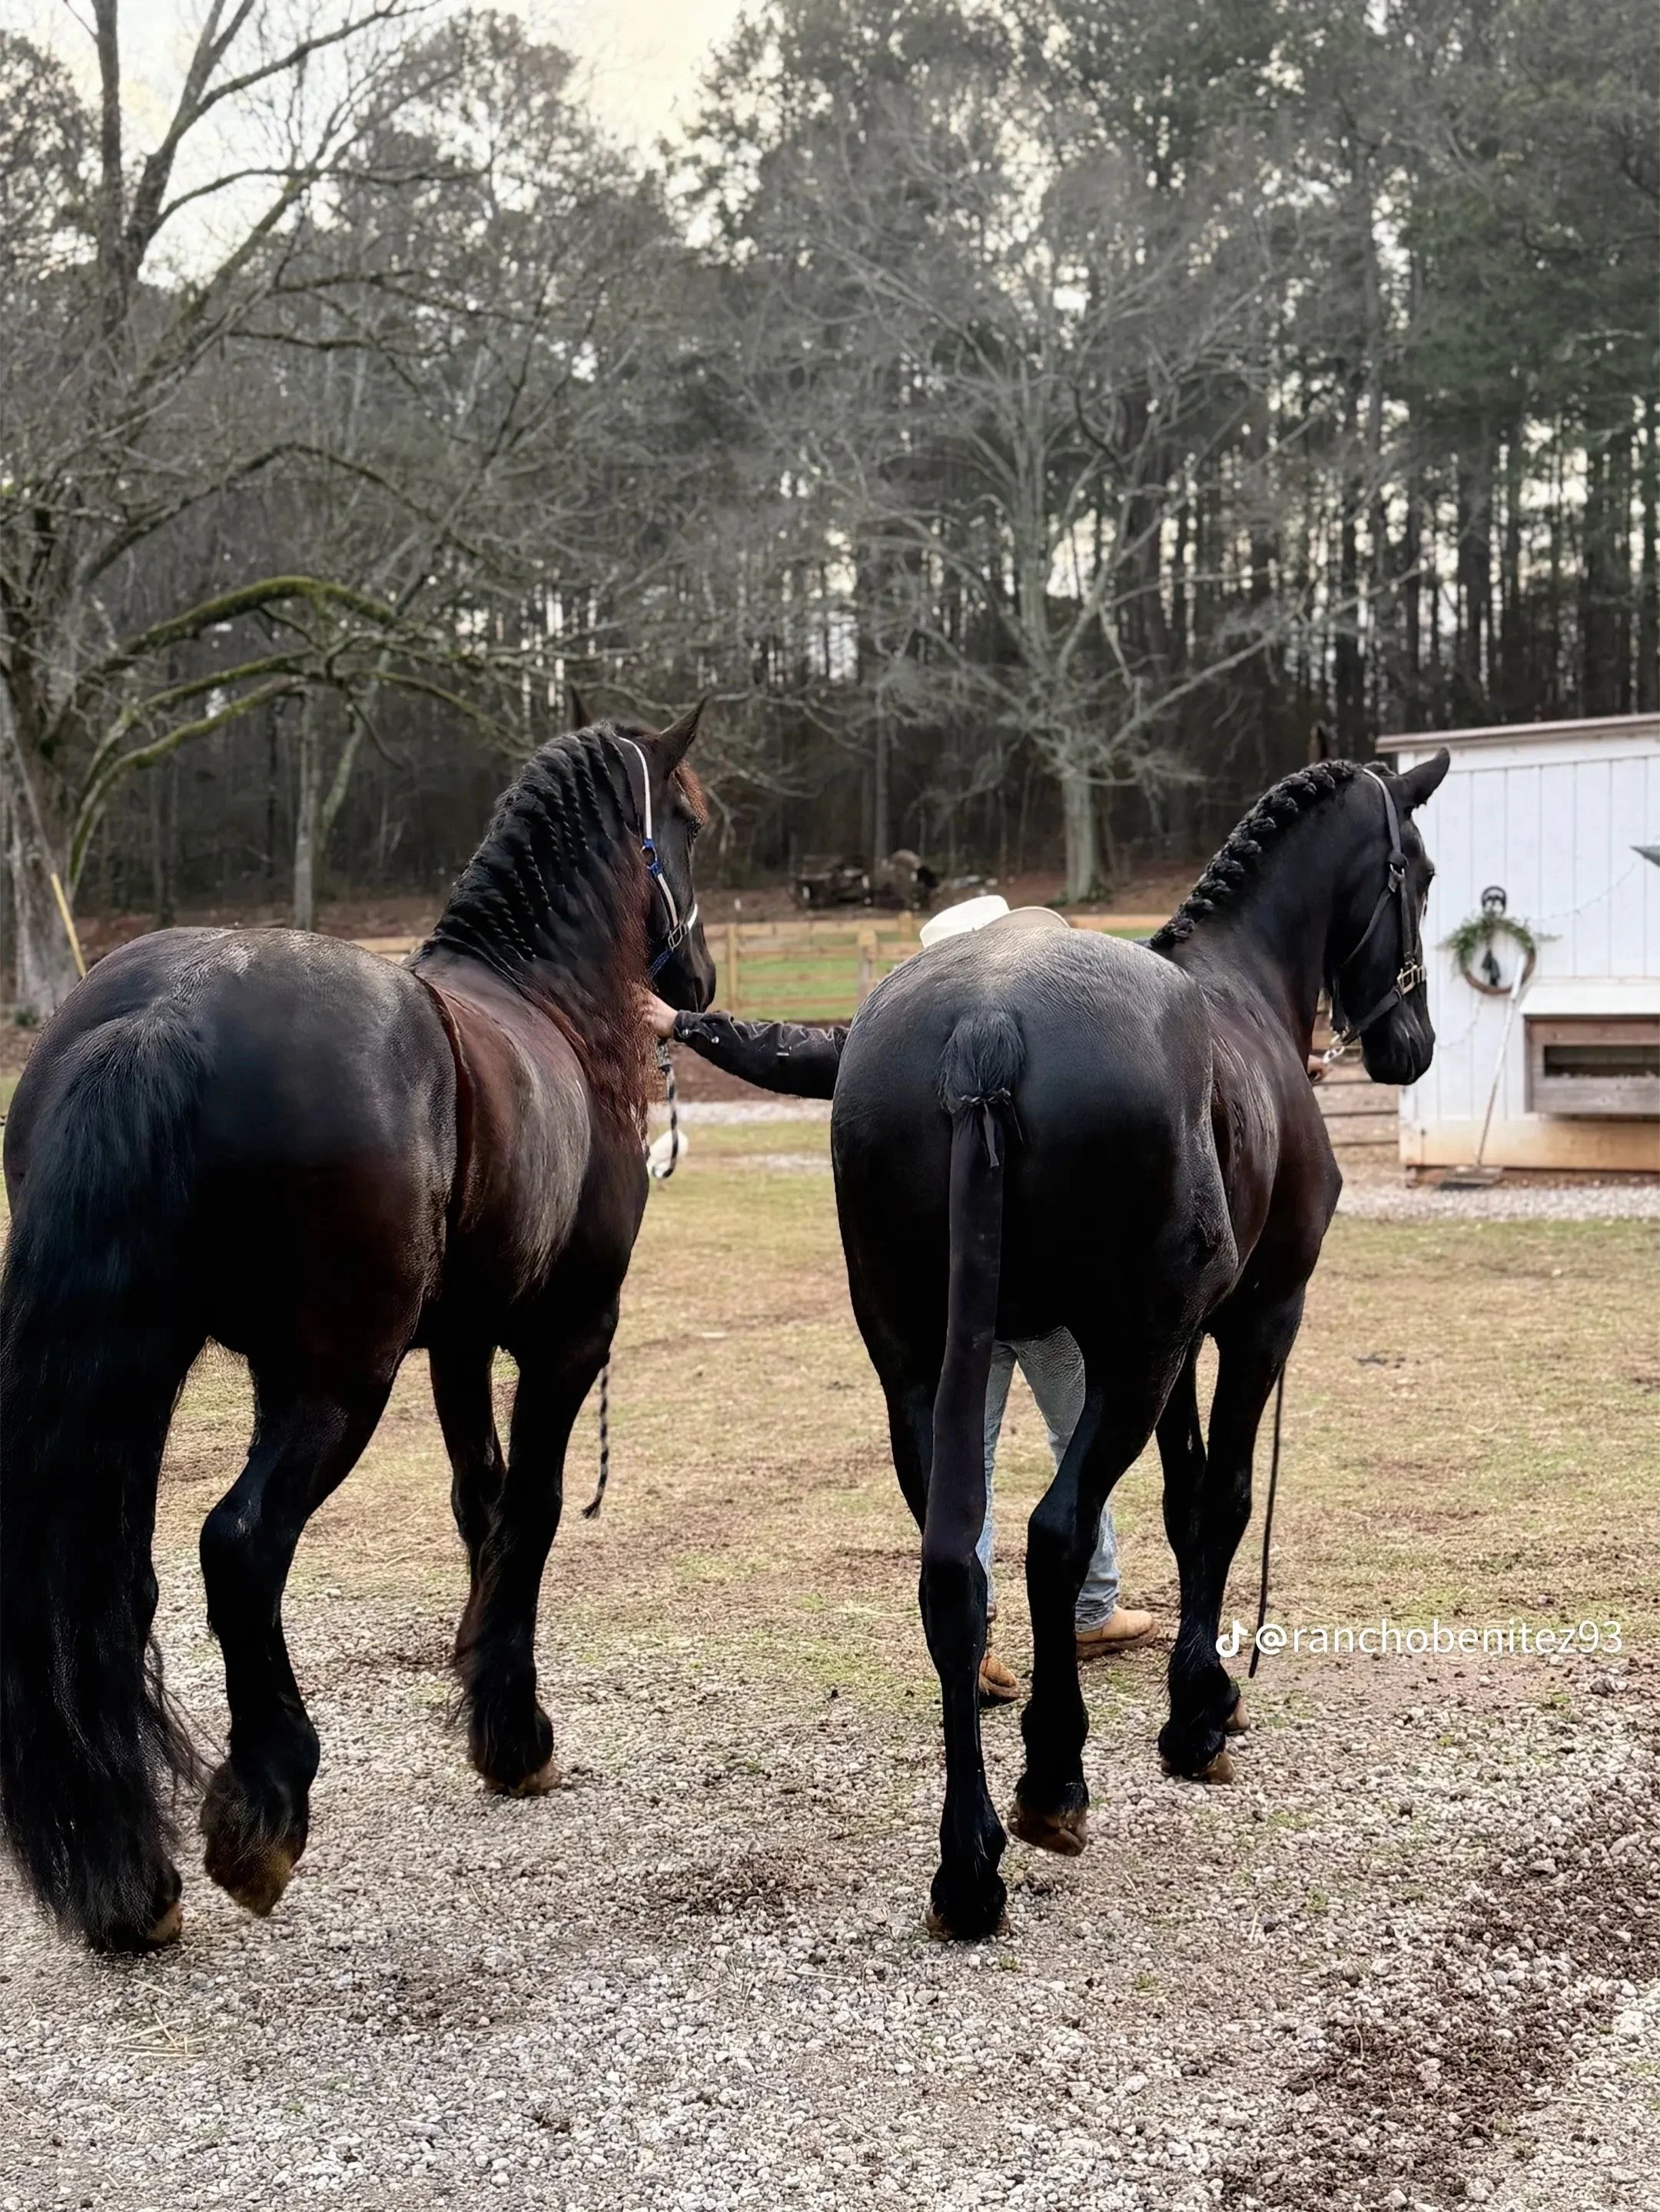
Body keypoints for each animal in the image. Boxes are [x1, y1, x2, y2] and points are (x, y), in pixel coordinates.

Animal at [0, 708, 715, 1953]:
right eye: (693, 819)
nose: (703, 983)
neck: (544, 1008)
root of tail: (169, 1011)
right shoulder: (567, 1341)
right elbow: (530, 1513)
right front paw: (514, 1733)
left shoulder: (461, 1345)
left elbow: (480, 1504)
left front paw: (482, 1694)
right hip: (336, 1383)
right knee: (239, 1545)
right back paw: (263, 1808)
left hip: (147, 1365)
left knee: (112, 1587)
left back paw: (131, 1883)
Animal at [830, 750, 1450, 1937]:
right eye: (1423, 874)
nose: (1414, 1042)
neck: (1242, 989)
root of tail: (986, 1025)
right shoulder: (1254, 1319)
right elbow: (1224, 1499)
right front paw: (1199, 1712)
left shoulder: (1174, 1349)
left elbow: (1182, 1495)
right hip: (1138, 1354)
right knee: (1052, 1532)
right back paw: (1053, 1783)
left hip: (923, 1375)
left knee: (956, 1568)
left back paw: (969, 1861)